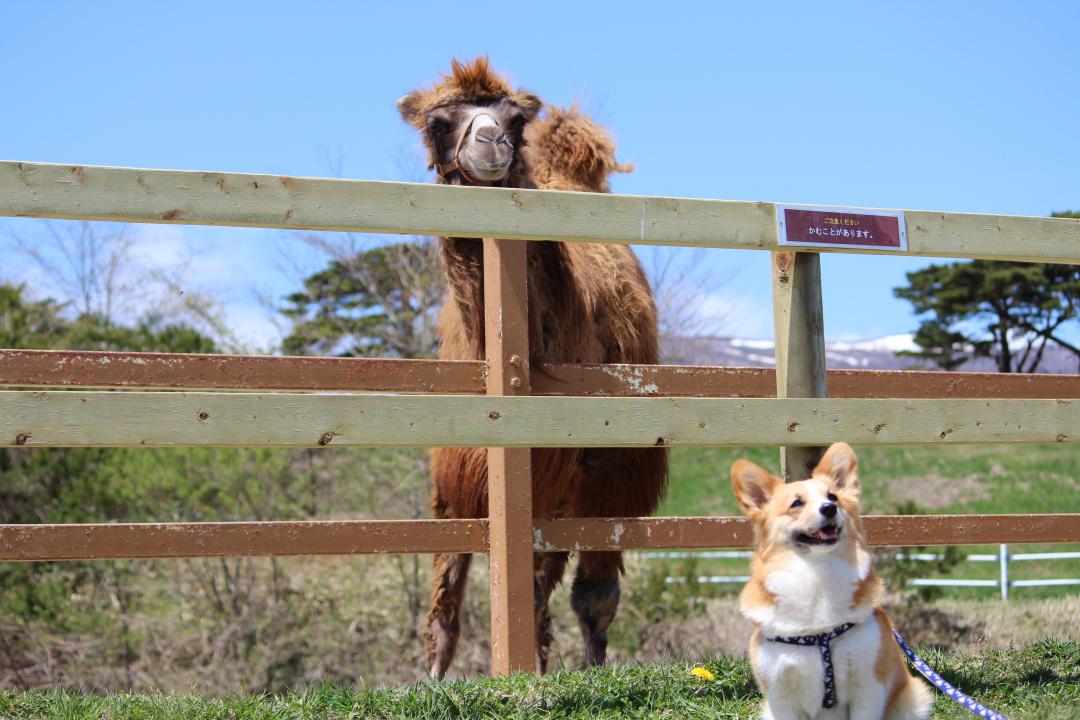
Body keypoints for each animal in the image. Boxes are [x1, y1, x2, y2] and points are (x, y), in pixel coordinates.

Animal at [397, 57, 665, 677]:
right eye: (439, 122)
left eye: (513, 119)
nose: (491, 142)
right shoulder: (456, 479)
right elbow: (445, 606)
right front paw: (431, 681)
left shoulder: (571, 476)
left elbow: (554, 596)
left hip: (603, 476)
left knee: (588, 595)